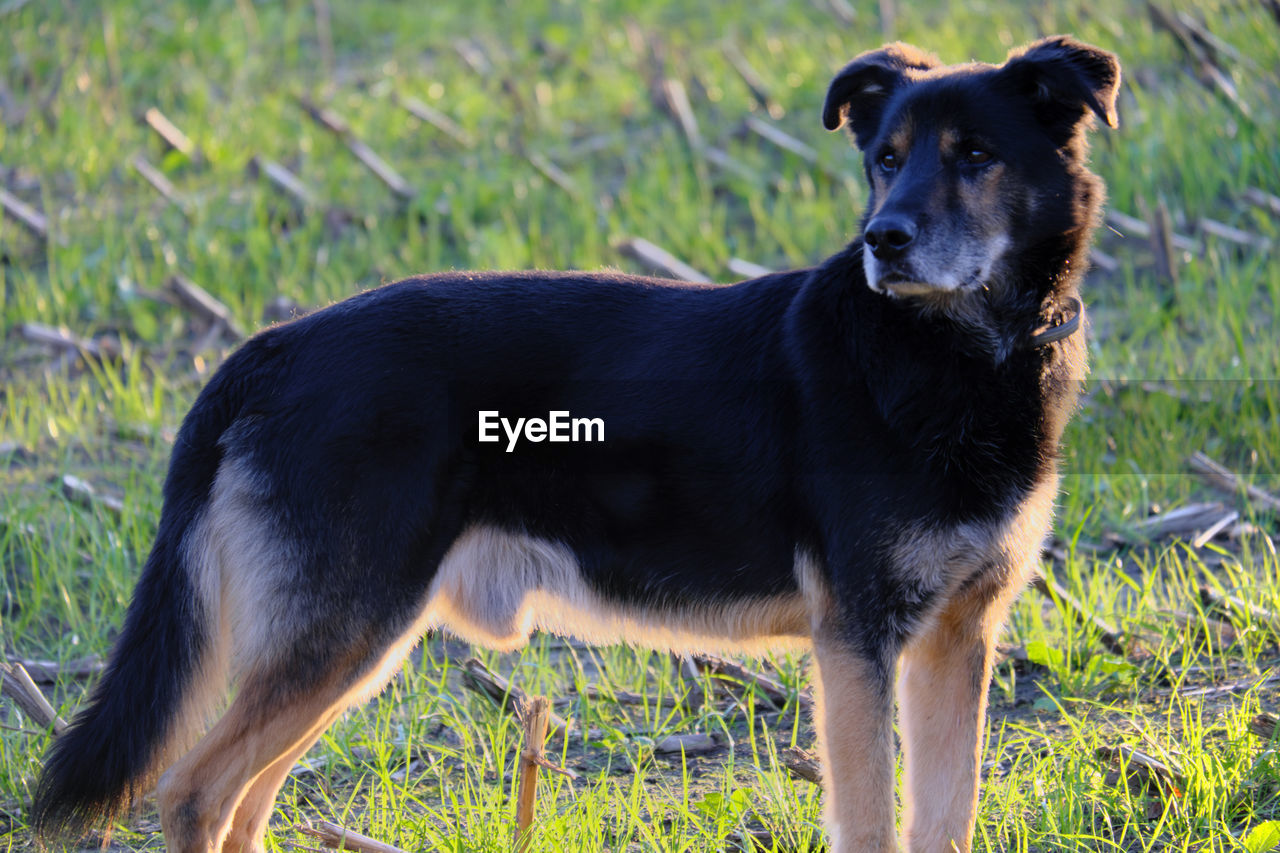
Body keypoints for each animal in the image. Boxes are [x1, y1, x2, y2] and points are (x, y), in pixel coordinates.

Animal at [27, 34, 1111, 850]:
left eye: (974, 156)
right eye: (886, 158)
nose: (885, 239)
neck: (957, 353)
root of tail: (270, 346)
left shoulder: (954, 641)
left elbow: (944, 816)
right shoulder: (858, 642)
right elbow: (876, 822)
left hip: (346, 644)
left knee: (242, 801)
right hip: (341, 630)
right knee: (195, 792)